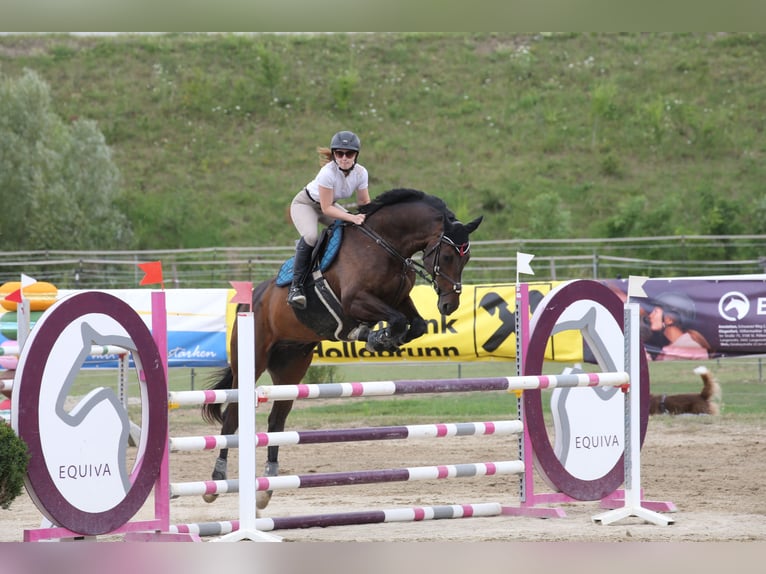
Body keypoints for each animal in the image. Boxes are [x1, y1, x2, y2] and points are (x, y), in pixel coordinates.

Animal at [201, 187, 484, 510]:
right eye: (447, 256)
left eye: (466, 257)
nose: (449, 305)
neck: (386, 244)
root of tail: (252, 298)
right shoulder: (355, 300)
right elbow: (397, 320)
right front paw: (375, 335)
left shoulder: (399, 300)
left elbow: (416, 325)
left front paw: (384, 337)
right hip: (252, 361)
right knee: (232, 417)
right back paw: (216, 481)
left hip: (291, 366)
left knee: (276, 420)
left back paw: (266, 486)